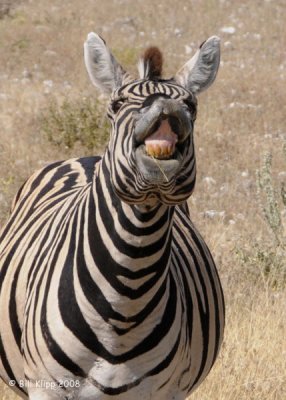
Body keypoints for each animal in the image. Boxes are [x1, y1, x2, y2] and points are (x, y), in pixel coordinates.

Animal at [0, 32, 226, 398]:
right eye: (117, 105)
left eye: (191, 106)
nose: (167, 110)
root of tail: (86, 156)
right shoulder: (46, 387)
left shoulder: (164, 391)